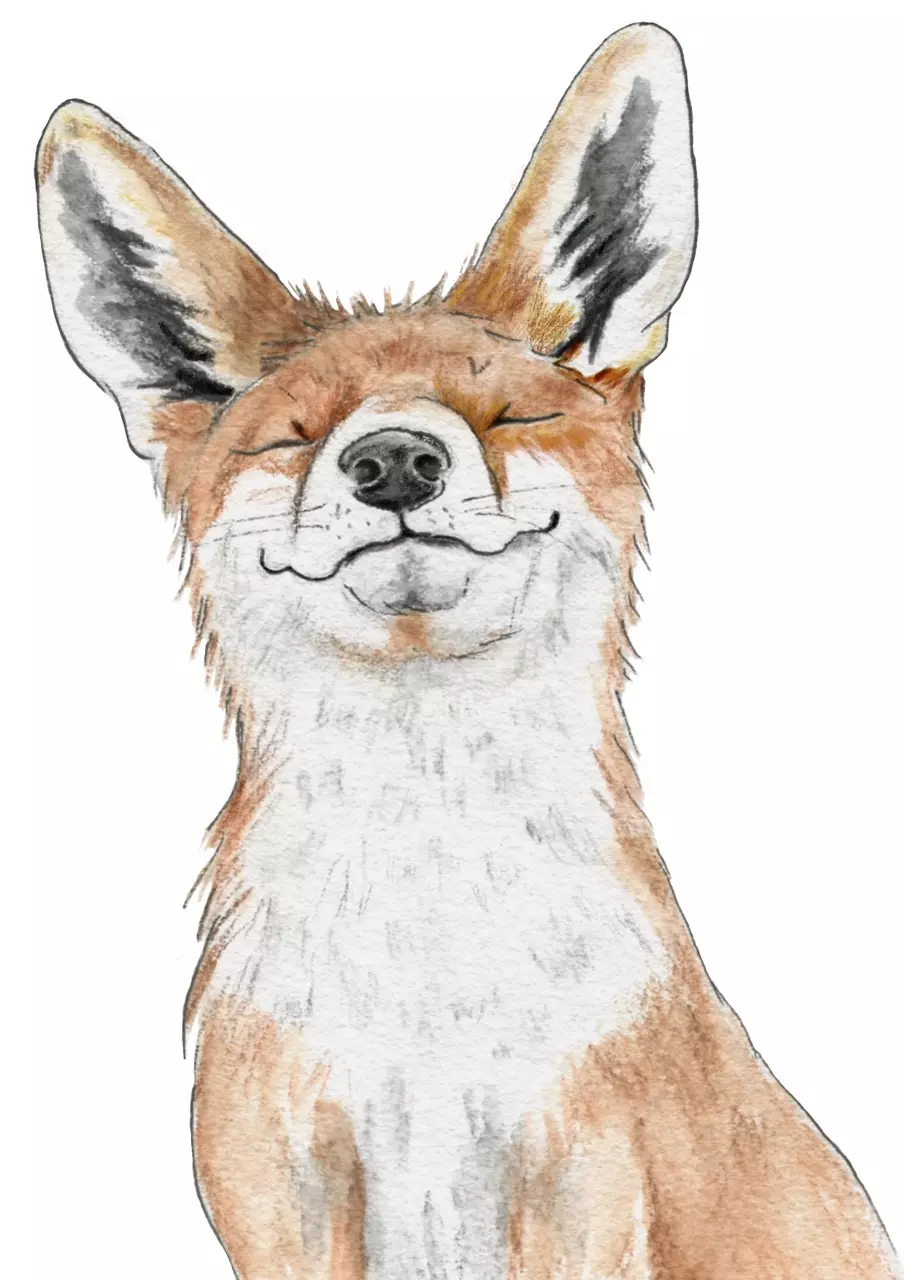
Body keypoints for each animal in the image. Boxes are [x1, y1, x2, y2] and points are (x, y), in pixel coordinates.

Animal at [36, 21, 899, 1280]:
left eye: (507, 417)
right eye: (294, 437)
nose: (393, 460)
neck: (427, 983)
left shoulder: (584, 1175)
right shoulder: (277, 1191)